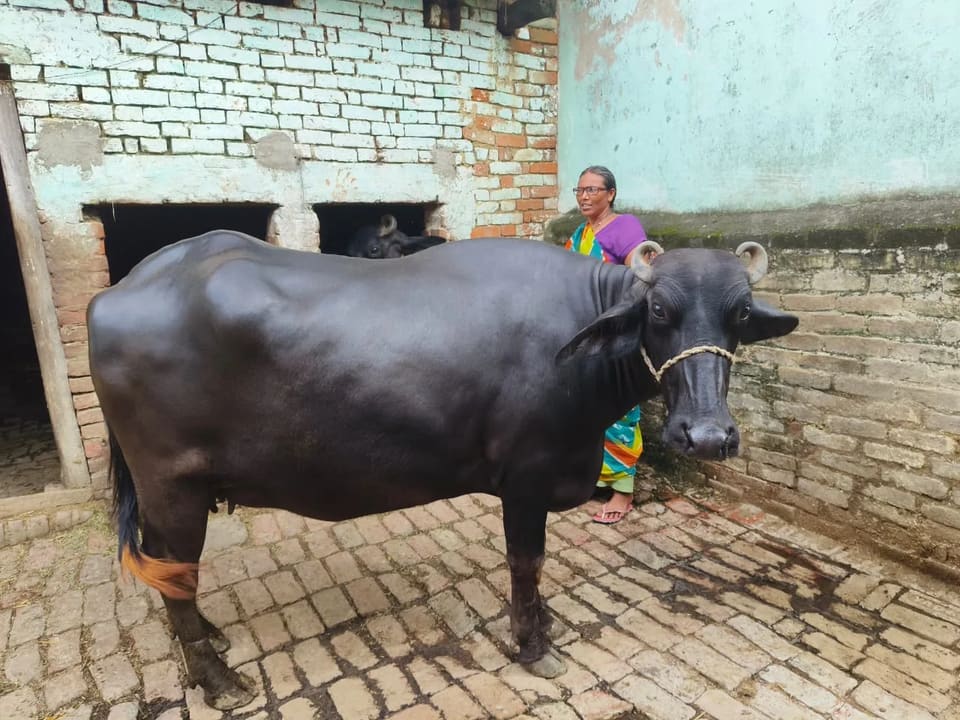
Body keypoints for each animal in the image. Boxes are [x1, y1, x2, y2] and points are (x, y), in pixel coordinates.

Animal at [87, 235, 797, 709]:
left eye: (738, 315)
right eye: (659, 313)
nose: (707, 435)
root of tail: (119, 291)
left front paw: (545, 625)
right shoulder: (527, 480)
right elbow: (527, 563)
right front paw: (533, 645)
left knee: (172, 575)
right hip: (171, 488)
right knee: (174, 572)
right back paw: (218, 681)